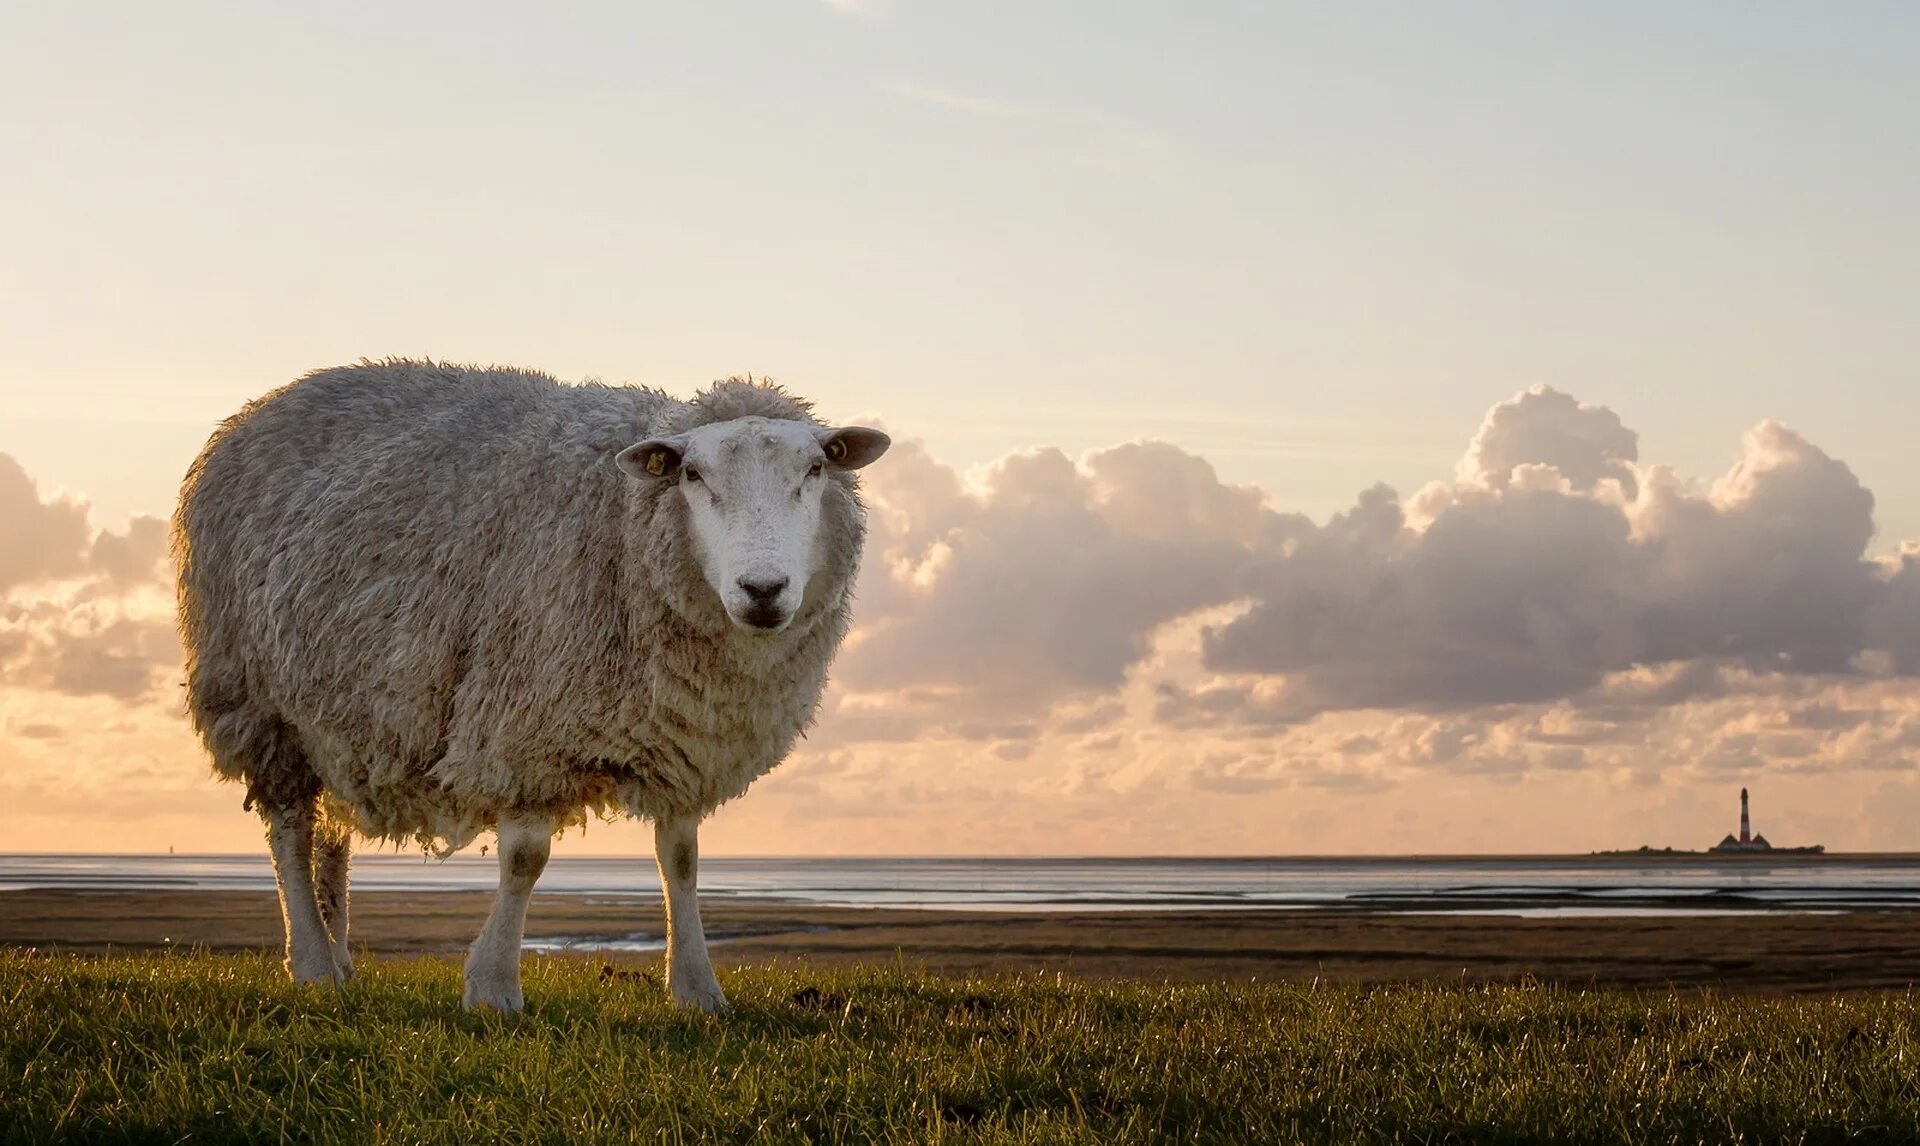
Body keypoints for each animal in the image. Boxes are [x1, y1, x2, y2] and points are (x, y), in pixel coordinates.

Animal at [172, 359, 889, 1012]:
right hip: (259, 704)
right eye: (692, 474)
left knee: (331, 835)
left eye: (816, 469)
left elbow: (681, 859)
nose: (763, 590)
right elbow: (524, 861)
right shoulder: (523, 725)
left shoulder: (683, 738)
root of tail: (258, 409)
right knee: (290, 830)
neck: (623, 530)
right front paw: (493, 989)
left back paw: (342, 960)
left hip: (336, 719)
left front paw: (696, 991)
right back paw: (314, 966)